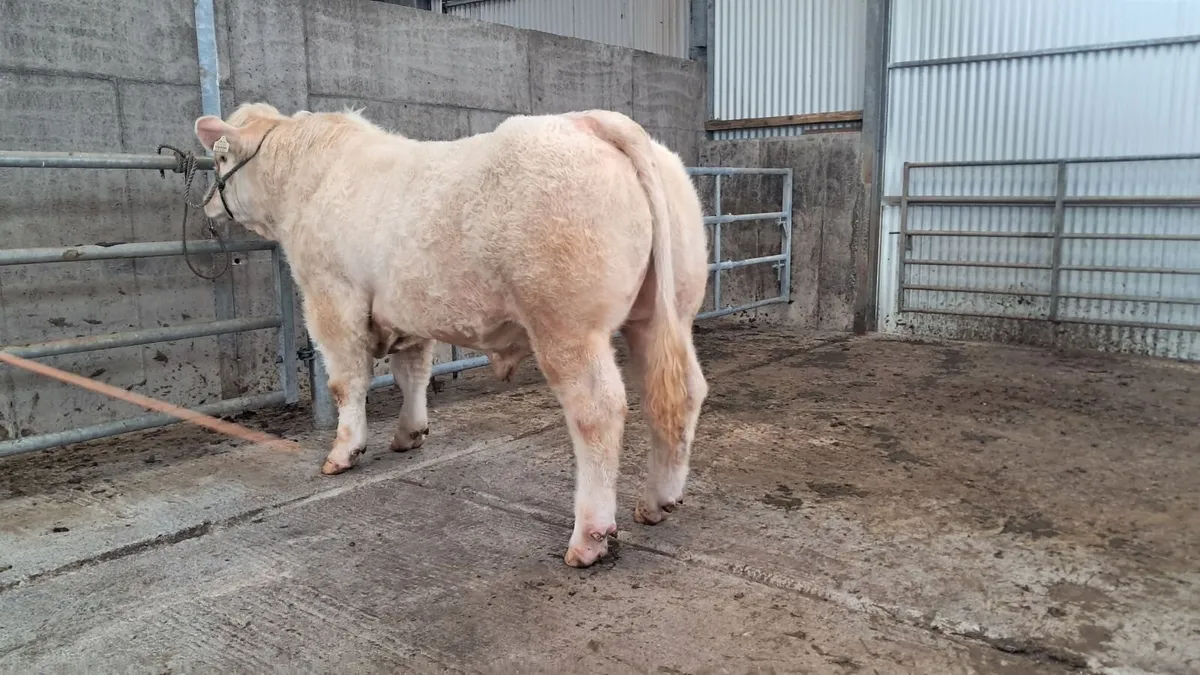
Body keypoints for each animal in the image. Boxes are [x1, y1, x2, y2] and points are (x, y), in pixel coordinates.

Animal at [192, 103, 709, 567]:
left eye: (219, 156)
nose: (206, 203)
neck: (308, 179)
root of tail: (596, 121)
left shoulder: (330, 298)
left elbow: (346, 381)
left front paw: (343, 452)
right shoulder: (406, 310)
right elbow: (412, 372)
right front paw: (410, 433)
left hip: (568, 325)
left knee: (597, 410)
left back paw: (588, 538)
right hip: (665, 312)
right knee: (681, 393)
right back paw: (658, 501)